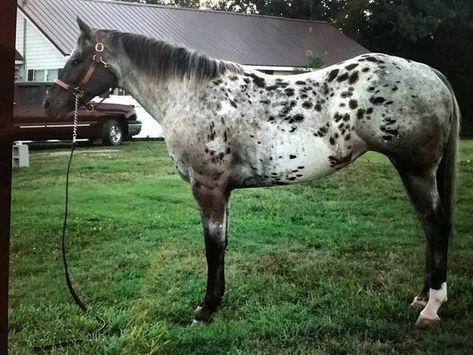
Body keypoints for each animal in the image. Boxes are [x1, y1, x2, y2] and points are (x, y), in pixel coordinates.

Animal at [44, 18, 458, 326]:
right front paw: (216, 301)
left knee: (435, 224)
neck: (190, 94)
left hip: (416, 170)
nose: (51, 103)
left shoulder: (208, 187)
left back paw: (431, 307)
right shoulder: (222, 191)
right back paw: (421, 296)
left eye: (77, 60)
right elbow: (223, 244)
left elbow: (212, 247)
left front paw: (205, 309)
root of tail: (428, 72)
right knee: (428, 226)